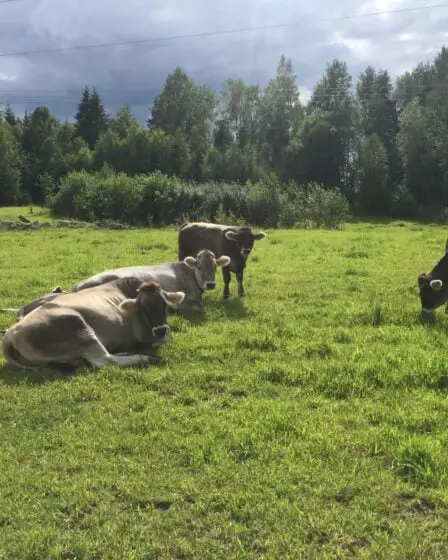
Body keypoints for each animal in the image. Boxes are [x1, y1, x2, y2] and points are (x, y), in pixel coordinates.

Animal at [1, 276, 184, 372]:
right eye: (144, 307)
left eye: (165, 304)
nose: (159, 330)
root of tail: (10, 333)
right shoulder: (142, 334)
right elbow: (168, 338)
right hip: (80, 329)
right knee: (104, 360)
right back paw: (144, 357)